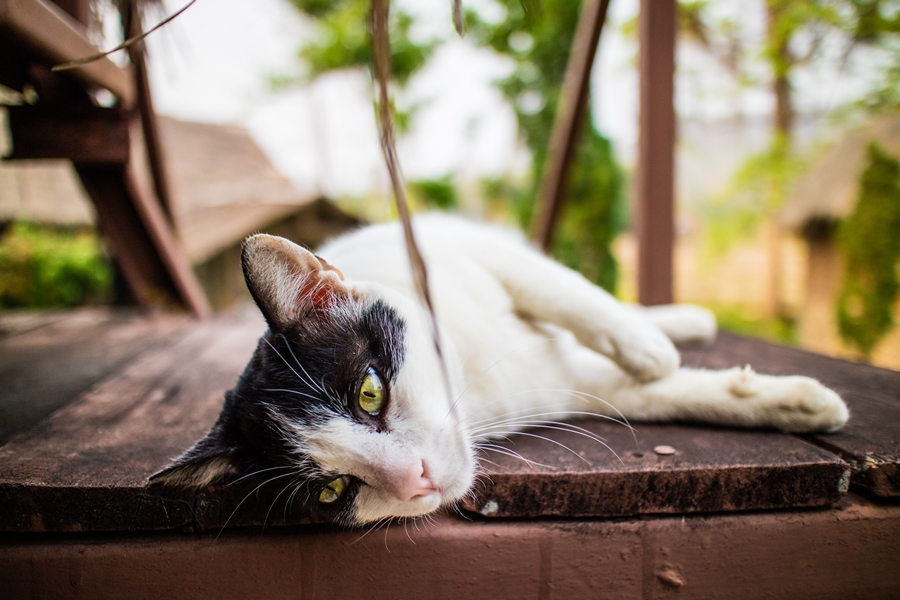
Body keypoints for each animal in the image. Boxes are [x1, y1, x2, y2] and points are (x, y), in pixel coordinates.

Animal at [151, 214, 848, 524]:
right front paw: (788, 400)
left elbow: (564, 291)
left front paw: (646, 348)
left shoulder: (466, 252)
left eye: (370, 393)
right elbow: (658, 395)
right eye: (333, 490)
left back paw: (670, 324)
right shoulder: (572, 387)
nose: (415, 479)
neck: (476, 382)